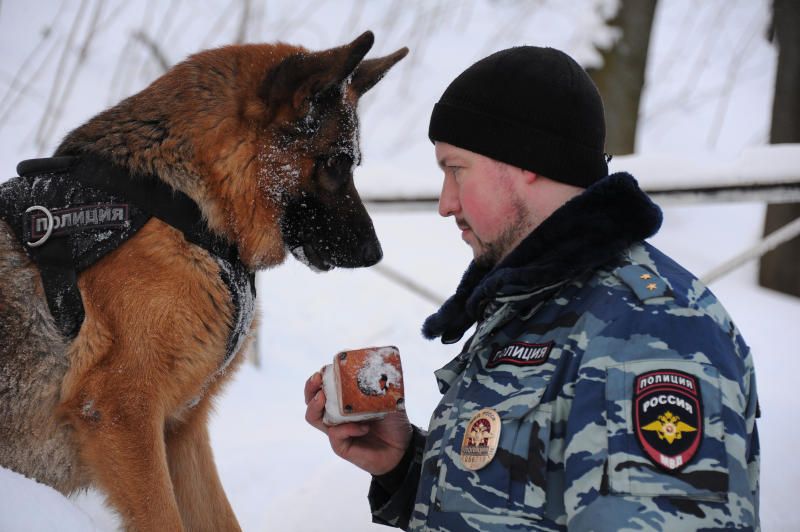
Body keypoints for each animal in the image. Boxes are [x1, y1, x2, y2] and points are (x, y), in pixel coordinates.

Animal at [1, 31, 406, 528]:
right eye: (336, 165)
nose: (375, 253)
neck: (190, 211)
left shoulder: (181, 431)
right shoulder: (123, 413)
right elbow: (163, 517)